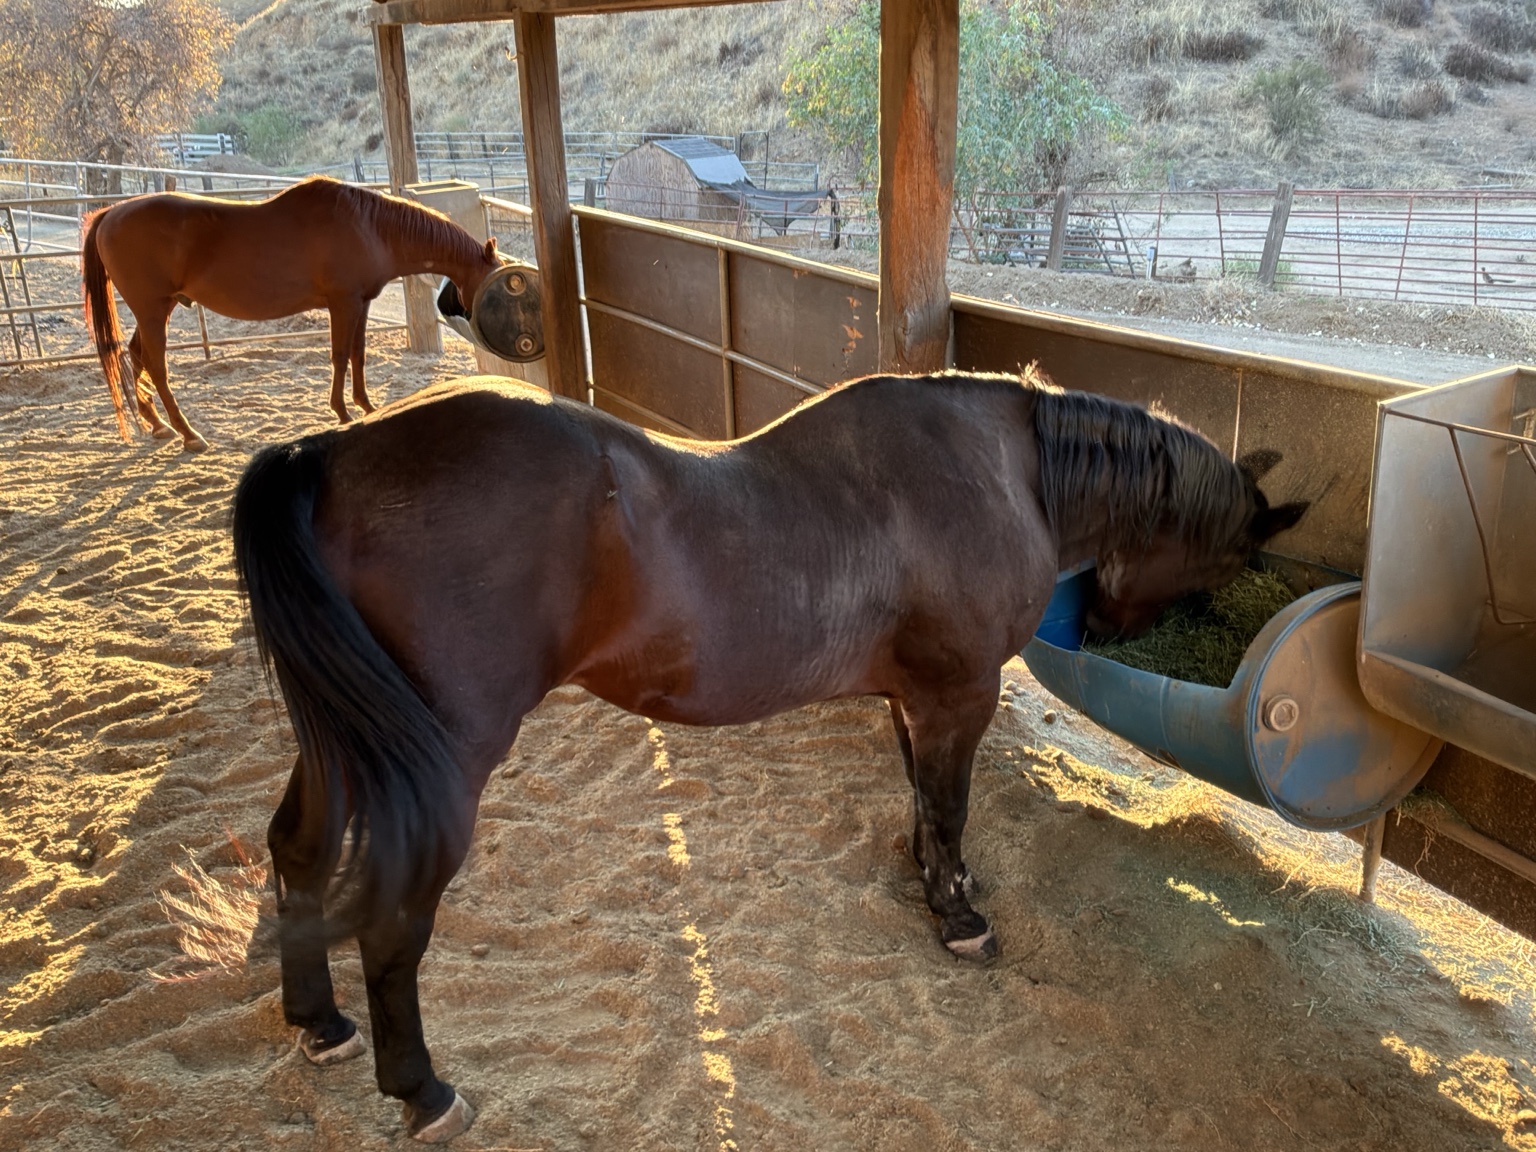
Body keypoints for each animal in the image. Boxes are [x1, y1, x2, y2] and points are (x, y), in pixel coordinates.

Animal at [82, 176, 502, 453]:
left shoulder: (361, 303)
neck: (370, 226)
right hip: (152, 311)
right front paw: (343, 411)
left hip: (158, 309)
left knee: (134, 357)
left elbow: (358, 354)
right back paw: (188, 434)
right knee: (155, 366)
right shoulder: (343, 303)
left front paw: (367, 406)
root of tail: (110, 213)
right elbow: (339, 356)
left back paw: (156, 425)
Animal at [230, 368, 1306, 1142]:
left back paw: (320, 1023)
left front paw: (935, 887)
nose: (1122, 627)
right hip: (441, 764)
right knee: (392, 919)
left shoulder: (913, 697)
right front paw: (961, 919)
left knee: (296, 851)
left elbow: (923, 799)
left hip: (350, 744)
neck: (1005, 473)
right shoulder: (961, 692)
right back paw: (423, 1090)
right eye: (1233, 559)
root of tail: (334, 452)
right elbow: (950, 802)